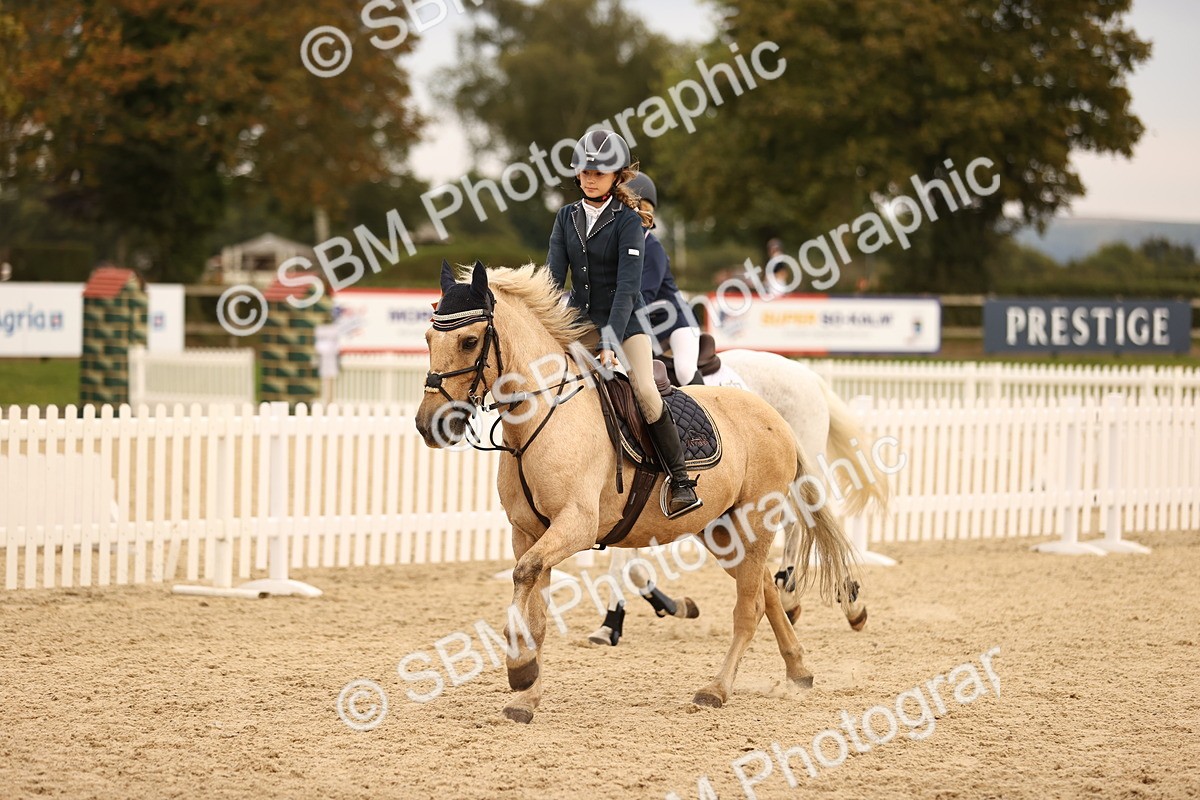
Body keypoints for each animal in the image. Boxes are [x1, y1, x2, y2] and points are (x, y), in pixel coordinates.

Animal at [415, 262, 859, 723]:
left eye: (469, 341)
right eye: (428, 338)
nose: (430, 425)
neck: (544, 415)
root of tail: (771, 413)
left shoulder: (576, 525)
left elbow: (526, 576)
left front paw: (520, 670)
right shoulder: (528, 533)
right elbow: (535, 605)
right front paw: (526, 692)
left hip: (755, 518)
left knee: (752, 603)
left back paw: (717, 688)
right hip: (722, 531)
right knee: (764, 590)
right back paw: (799, 670)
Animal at [586, 349, 889, 646]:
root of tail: (807, 375)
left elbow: (625, 566)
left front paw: (611, 623)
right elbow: (633, 568)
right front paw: (671, 607)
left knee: (813, 523)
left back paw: (843, 600)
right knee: (795, 524)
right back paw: (791, 594)